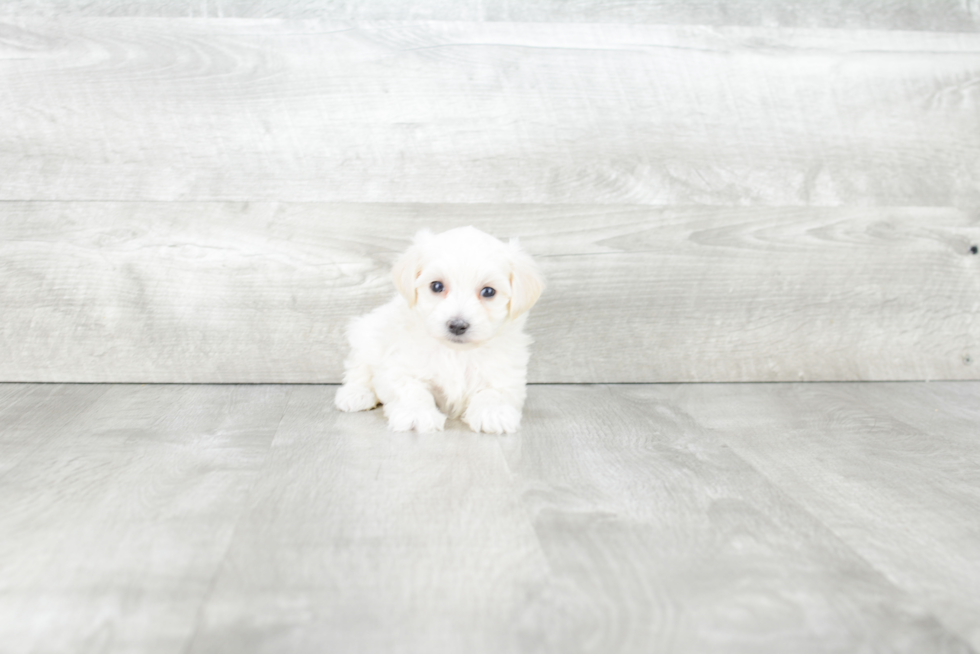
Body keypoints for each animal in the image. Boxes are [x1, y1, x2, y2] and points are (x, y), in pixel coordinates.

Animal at [336, 226, 544, 436]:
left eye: (488, 292)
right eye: (436, 286)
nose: (457, 325)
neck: (456, 353)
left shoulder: (506, 374)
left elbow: (493, 392)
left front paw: (492, 412)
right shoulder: (400, 366)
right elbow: (412, 389)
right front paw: (416, 413)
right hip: (367, 333)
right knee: (359, 368)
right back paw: (356, 394)